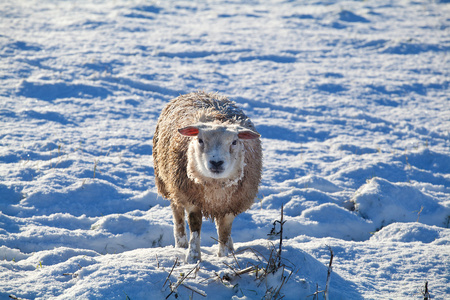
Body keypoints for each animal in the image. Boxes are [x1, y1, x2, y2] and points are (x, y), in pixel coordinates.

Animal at [153, 91, 262, 262]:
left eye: (234, 142)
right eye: (200, 140)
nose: (216, 162)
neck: (215, 189)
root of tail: (200, 92)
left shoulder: (231, 205)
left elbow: (224, 231)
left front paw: (225, 256)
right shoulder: (191, 199)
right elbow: (195, 227)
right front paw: (193, 257)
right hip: (169, 184)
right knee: (177, 215)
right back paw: (181, 244)